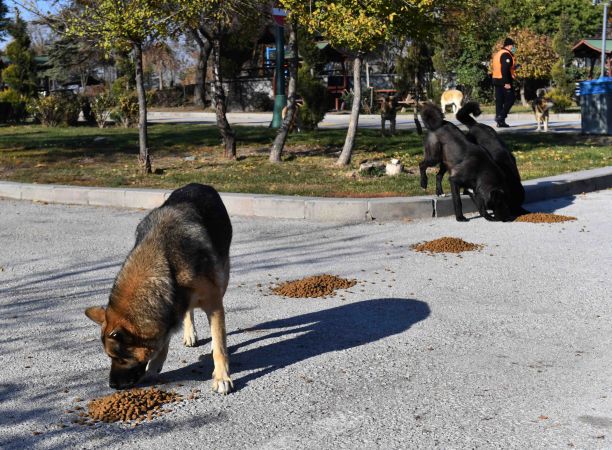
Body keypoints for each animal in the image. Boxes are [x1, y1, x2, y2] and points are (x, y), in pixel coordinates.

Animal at [83, 183, 232, 394]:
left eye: (118, 358)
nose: (112, 385)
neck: (165, 263)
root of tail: (197, 184)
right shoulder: (170, 309)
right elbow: (163, 342)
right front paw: (154, 367)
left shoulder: (214, 304)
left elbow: (219, 346)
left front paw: (221, 377)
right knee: (188, 312)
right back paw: (189, 333)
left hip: (222, 279)